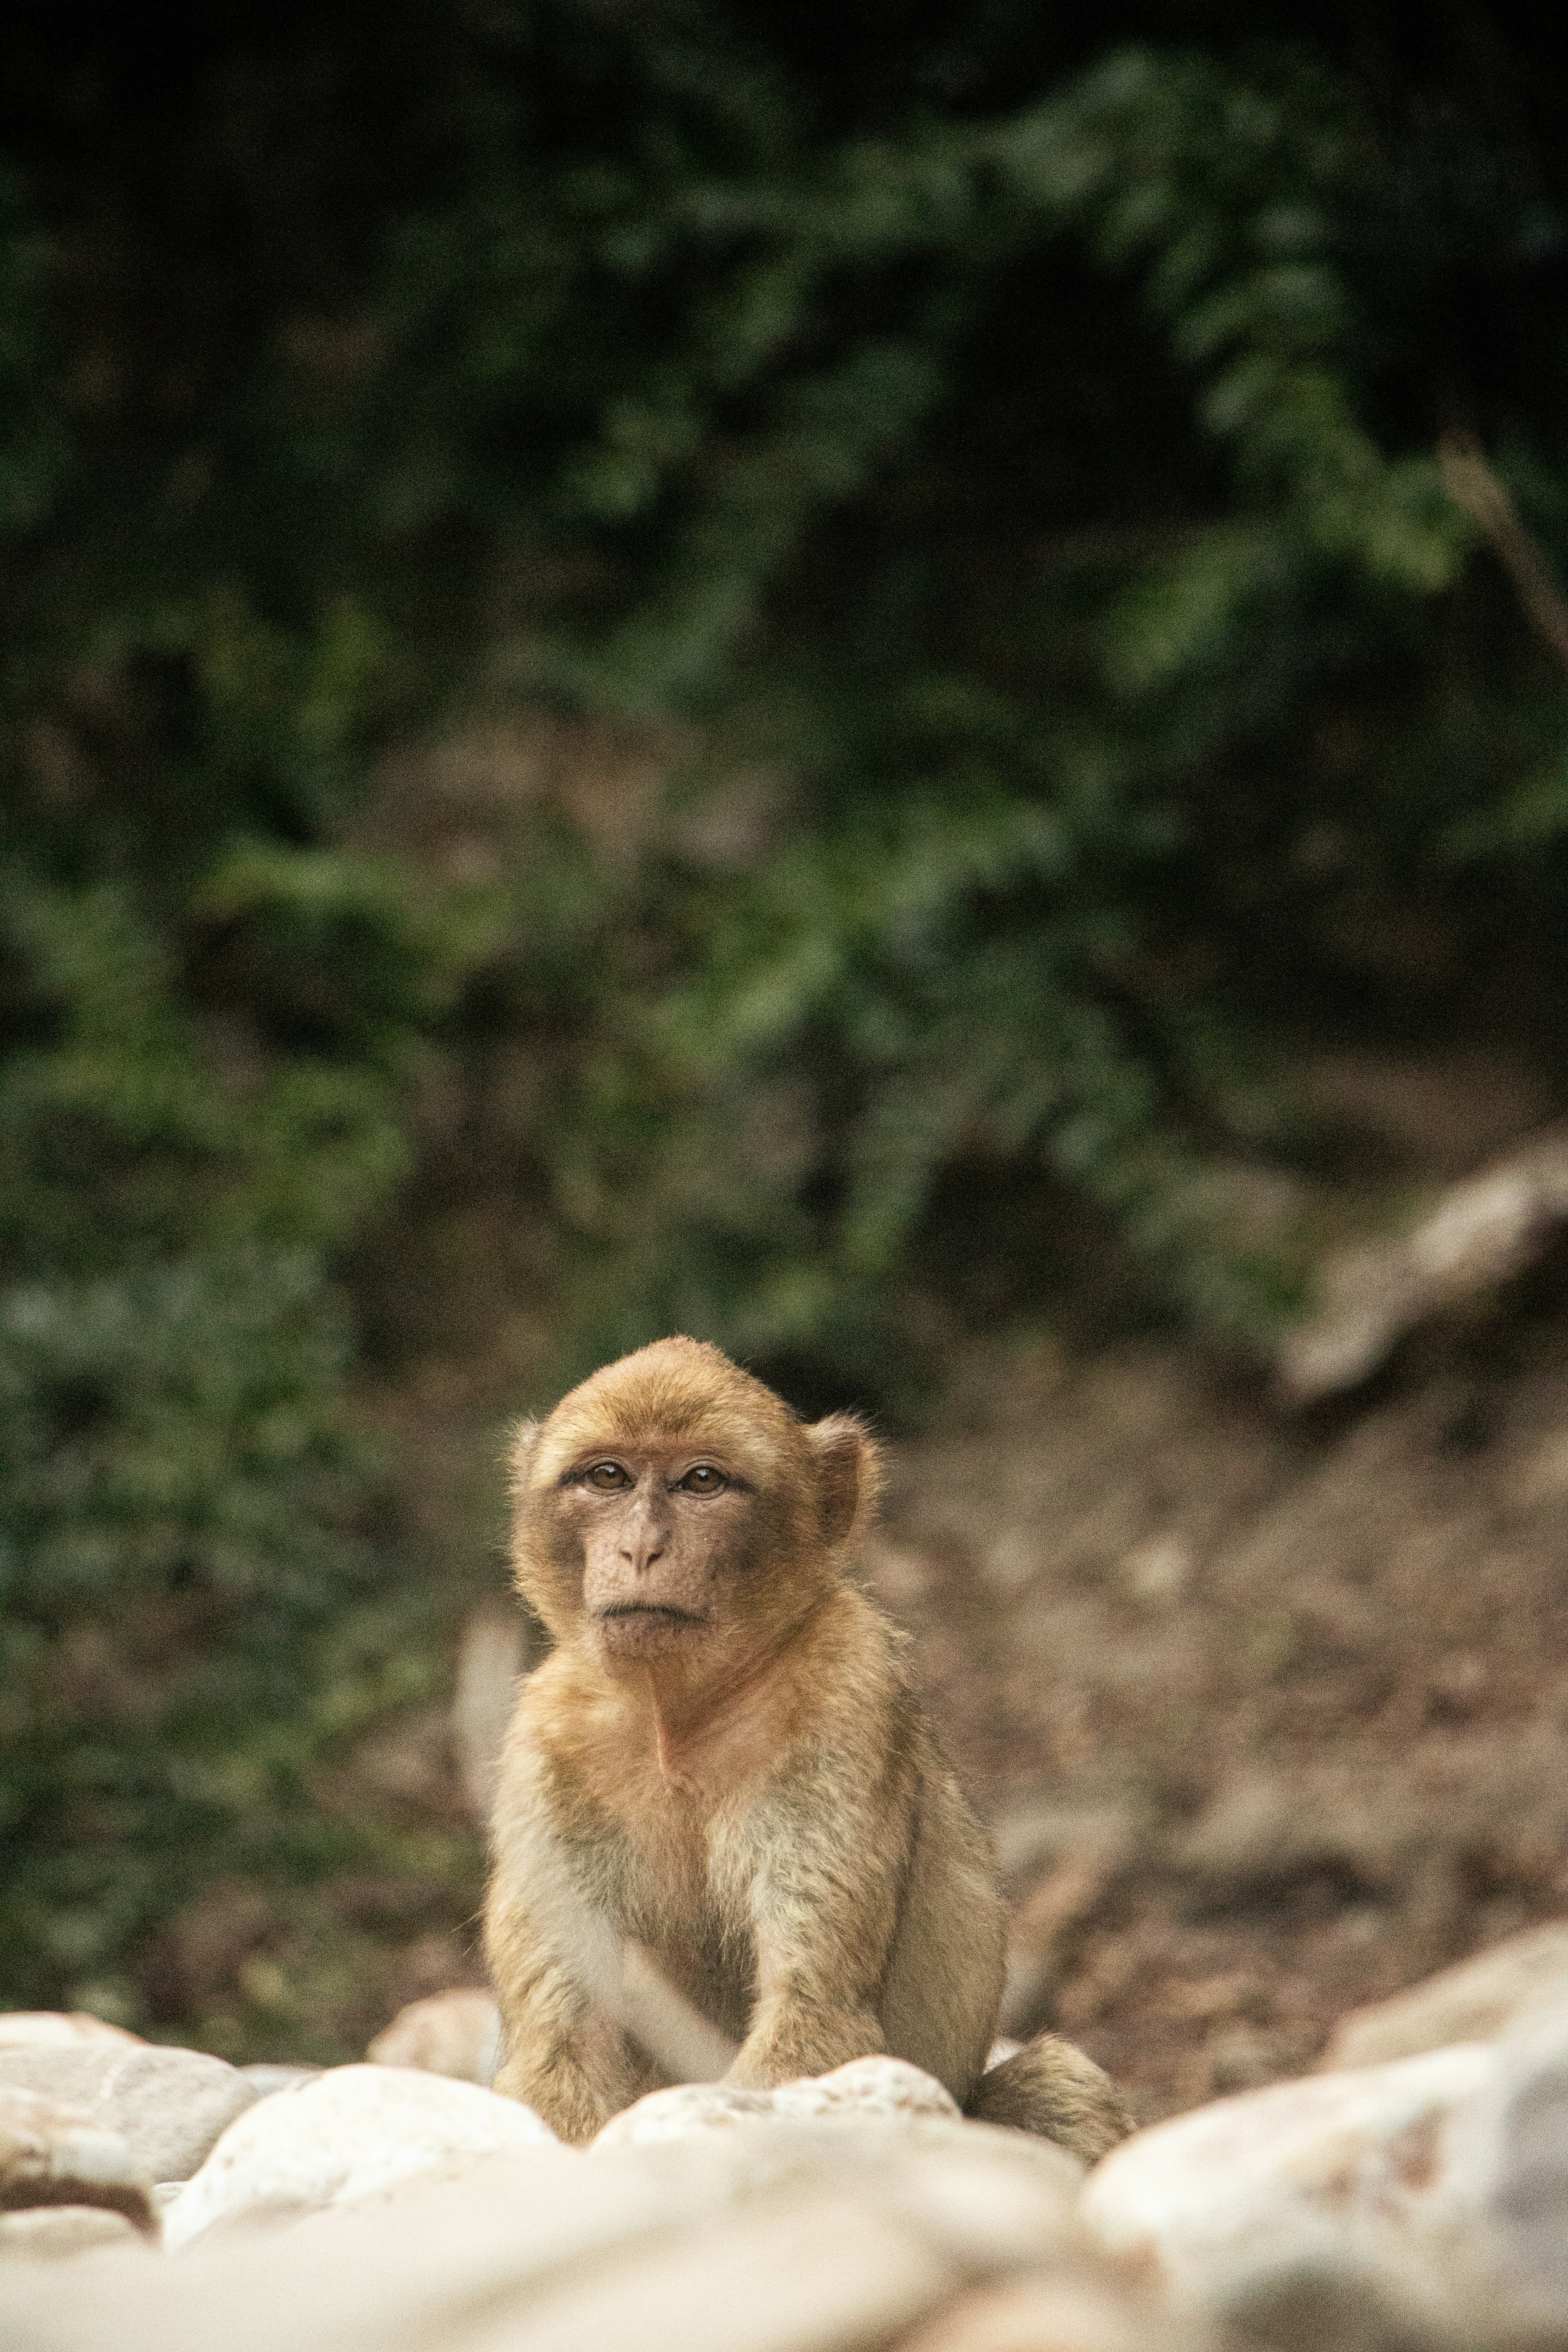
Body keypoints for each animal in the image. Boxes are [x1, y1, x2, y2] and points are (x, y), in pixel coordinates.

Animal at [483, 1336, 1131, 2163]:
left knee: (1058, 2088)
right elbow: (562, 2050)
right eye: (608, 1477)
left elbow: (815, 2023)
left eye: (702, 1481)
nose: (640, 1548)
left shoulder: (847, 1703)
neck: (679, 1723)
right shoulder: (545, 1756)